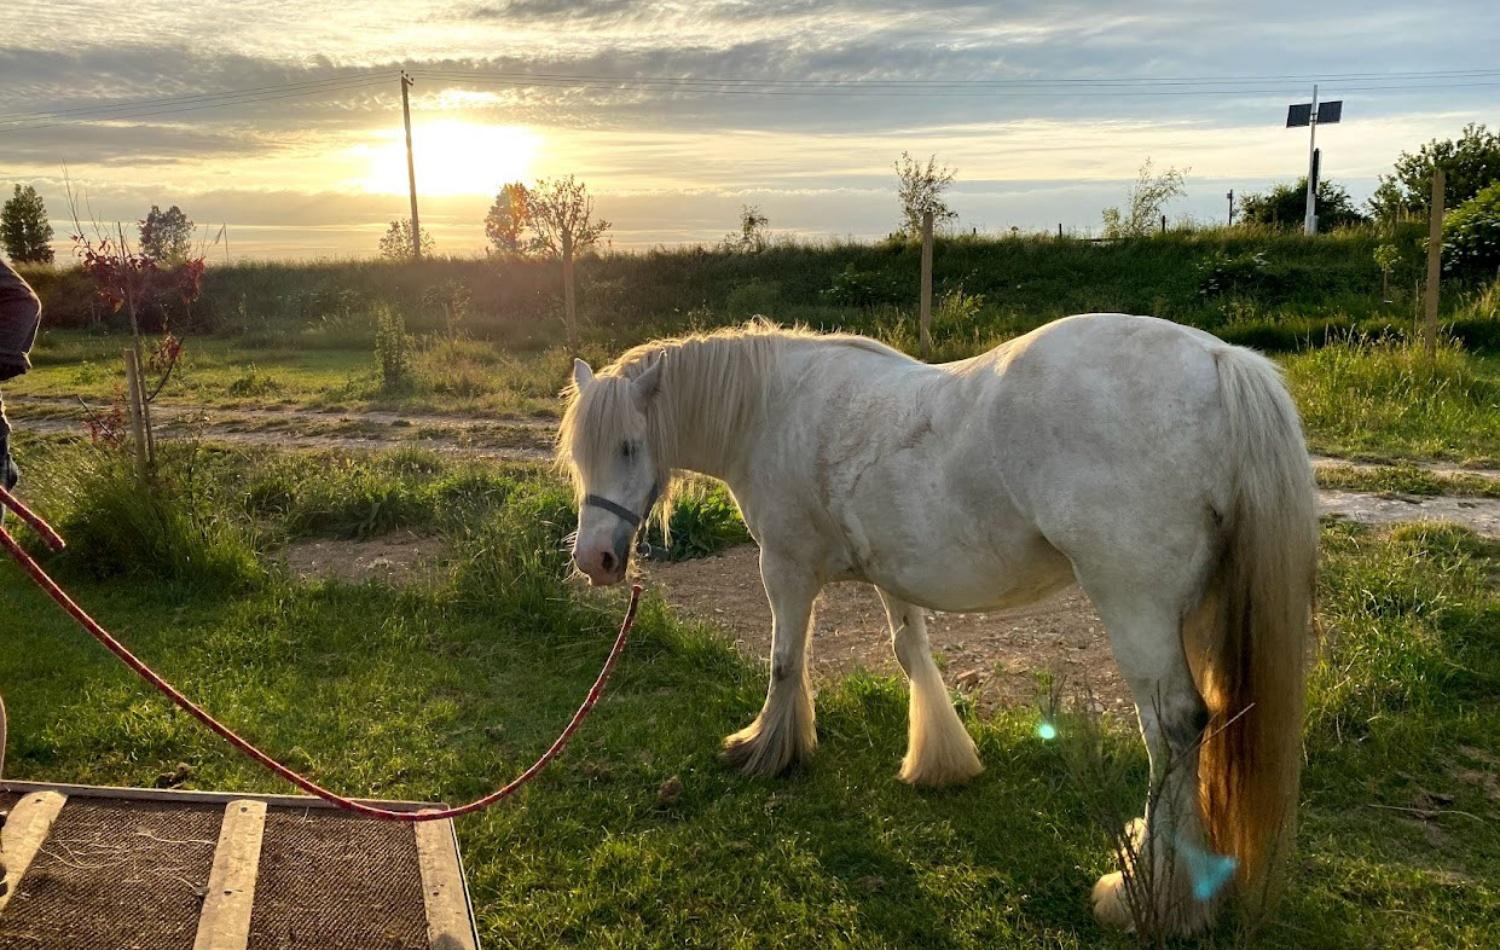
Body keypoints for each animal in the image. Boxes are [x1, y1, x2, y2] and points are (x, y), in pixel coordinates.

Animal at [561, 313, 1314, 936]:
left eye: (629, 446)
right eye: (579, 455)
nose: (595, 561)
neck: (773, 408)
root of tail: (1218, 359)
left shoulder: (785, 568)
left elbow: (785, 661)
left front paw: (766, 749)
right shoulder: (893, 577)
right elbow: (909, 652)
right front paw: (940, 758)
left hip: (1138, 611)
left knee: (1174, 729)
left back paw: (1149, 895)